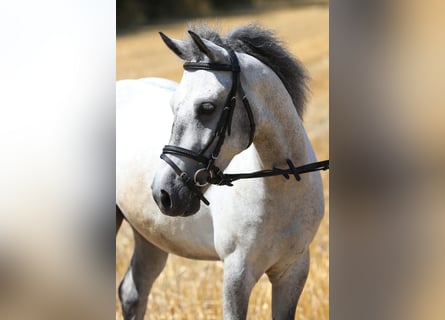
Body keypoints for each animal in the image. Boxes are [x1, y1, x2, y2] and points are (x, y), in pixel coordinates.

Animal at [117, 23, 326, 318]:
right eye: (173, 107)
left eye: (206, 107)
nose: (164, 193)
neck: (282, 187)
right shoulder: (237, 275)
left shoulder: (293, 271)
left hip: (150, 238)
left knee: (133, 292)